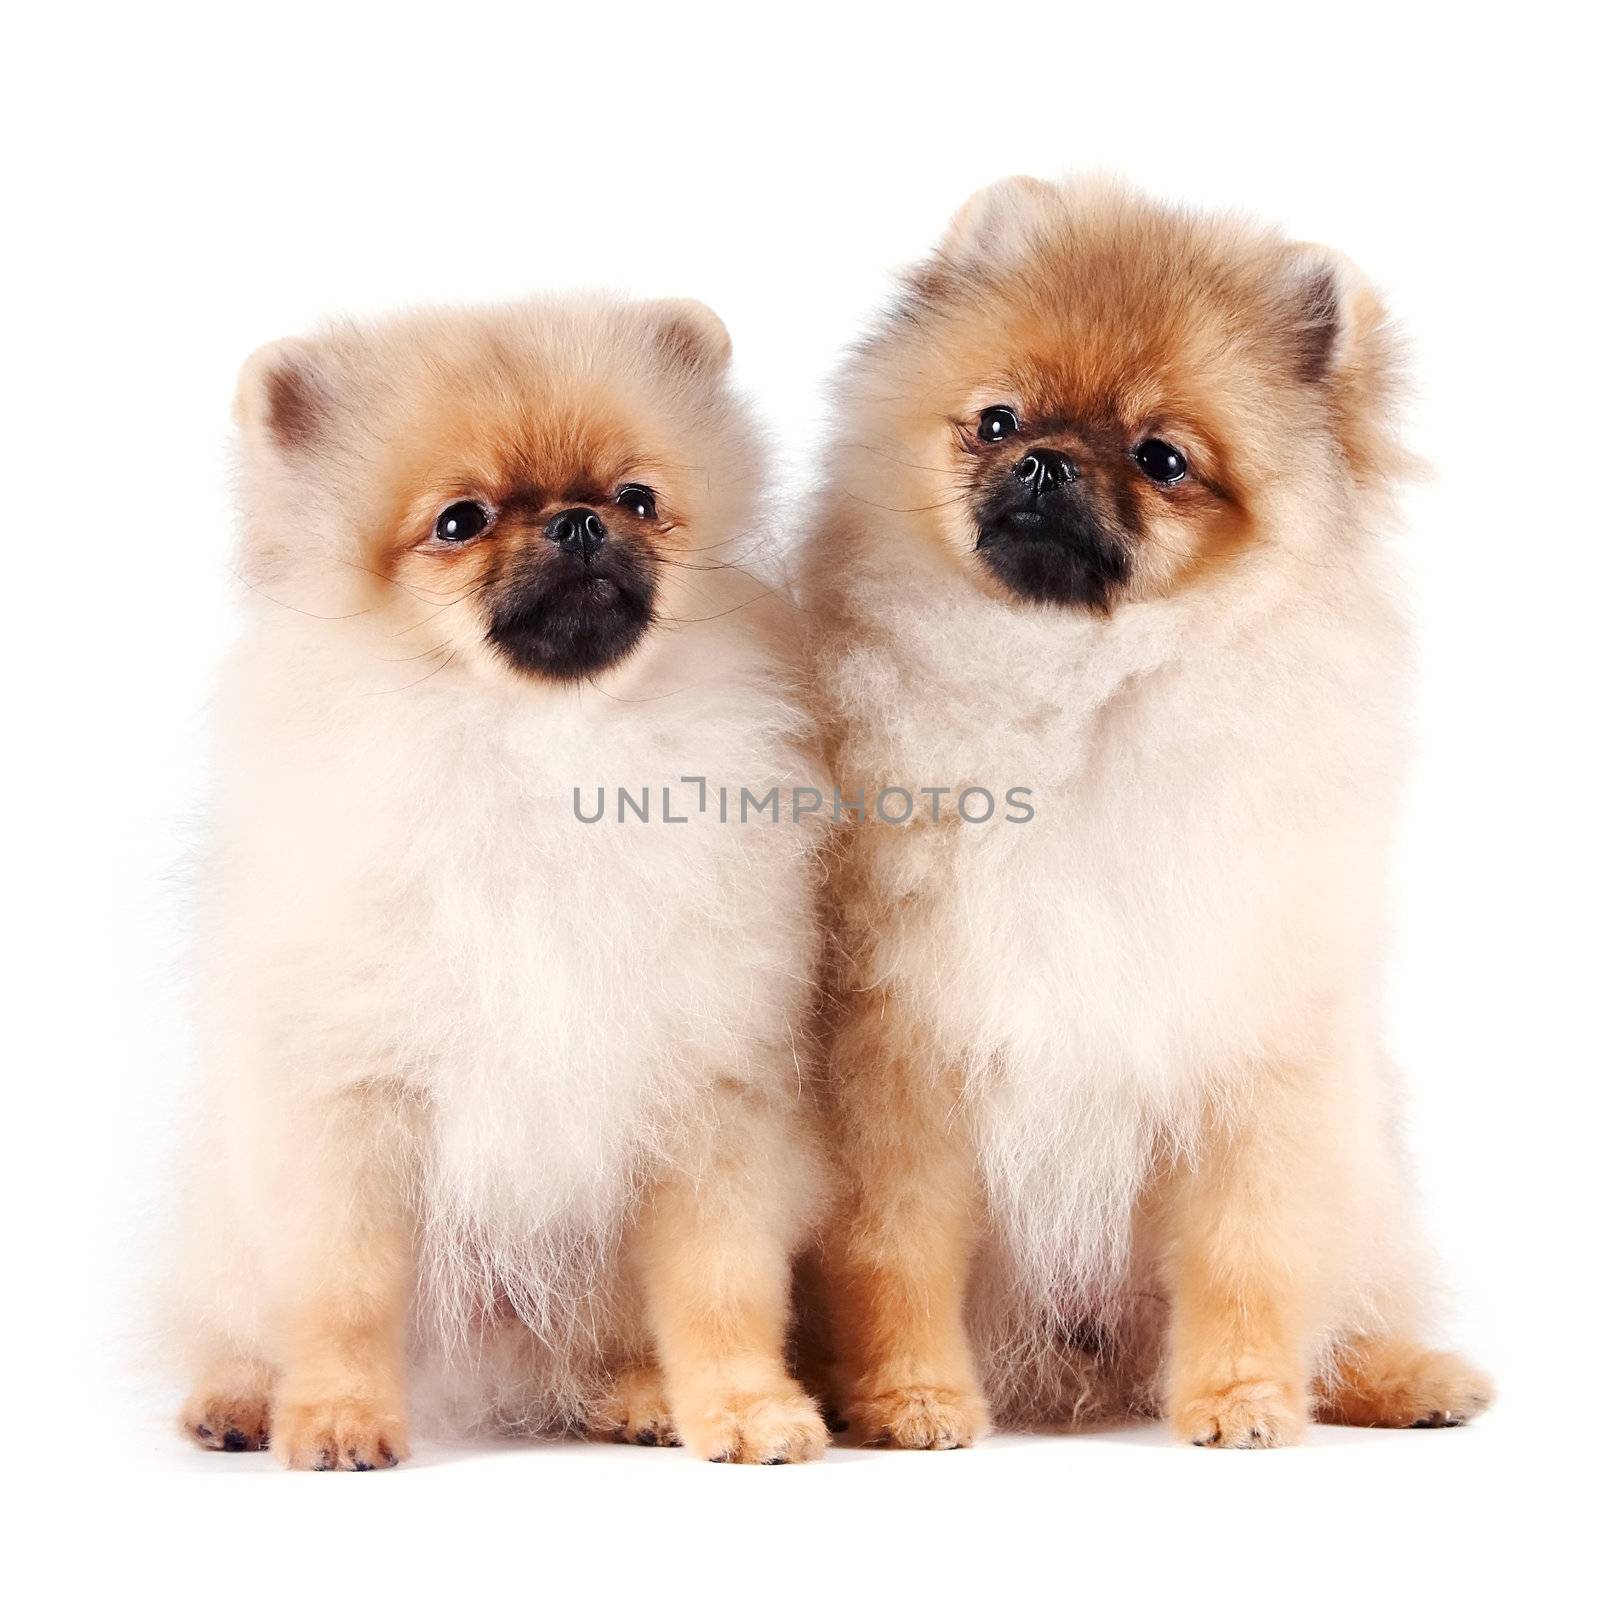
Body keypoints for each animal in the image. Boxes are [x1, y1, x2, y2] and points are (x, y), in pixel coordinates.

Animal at [172, 294, 825, 1465]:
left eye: (636, 498)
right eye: (461, 520)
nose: (577, 523)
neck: (544, 756)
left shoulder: (712, 1095)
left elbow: (722, 1289)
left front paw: (748, 1408)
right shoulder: (348, 1103)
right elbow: (339, 1293)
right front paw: (337, 1414)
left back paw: (631, 1393)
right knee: (237, 1315)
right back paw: (239, 1397)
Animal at [806, 178, 1491, 1452]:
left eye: (1162, 456)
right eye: (996, 421)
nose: (1044, 465)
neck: (1075, 702)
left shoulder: (1250, 1051)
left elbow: (1247, 1253)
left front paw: (1240, 1397)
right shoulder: (902, 1067)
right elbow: (897, 1252)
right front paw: (913, 1398)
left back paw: (1398, 1374)